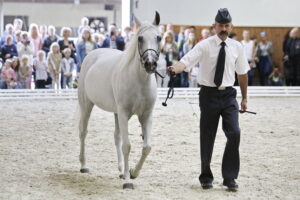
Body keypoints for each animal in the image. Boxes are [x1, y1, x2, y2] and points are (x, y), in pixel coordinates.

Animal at [77, 12, 162, 189]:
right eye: (140, 38)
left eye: (158, 37)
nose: (150, 64)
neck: (139, 82)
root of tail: (91, 56)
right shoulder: (123, 113)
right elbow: (127, 146)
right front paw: (128, 182)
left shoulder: (146, 115)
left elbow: (146, 147)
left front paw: (133, 172)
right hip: (87, 105)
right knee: (83, 132)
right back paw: (84, 166)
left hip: (115, 113)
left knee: (117, 136)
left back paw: (122, 170)